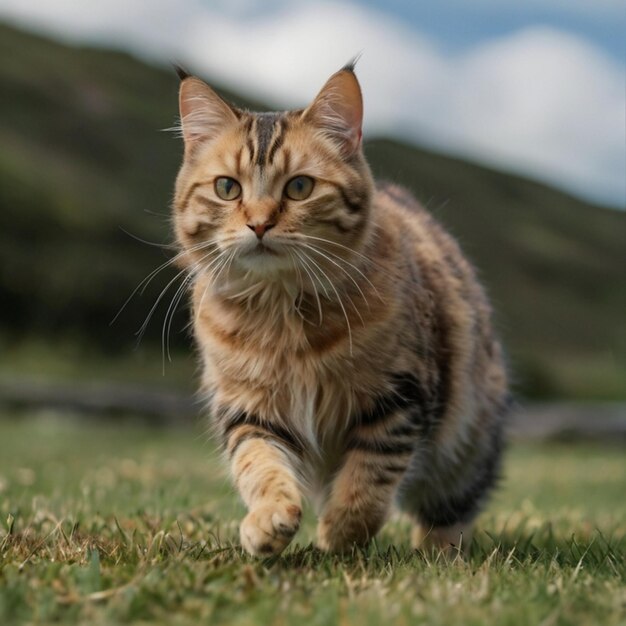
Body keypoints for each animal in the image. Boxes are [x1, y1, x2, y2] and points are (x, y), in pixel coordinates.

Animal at [169, 61, 508, 552]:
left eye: (300, 187)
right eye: (227, 188)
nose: (258, 224)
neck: (282, 314)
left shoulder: (399, 398)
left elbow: (368, 480)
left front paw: (340, 534)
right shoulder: (249, 408)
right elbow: (260, 465)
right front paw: (269, 521)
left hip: (466, 448)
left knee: (447, 515)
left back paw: (437, 554)